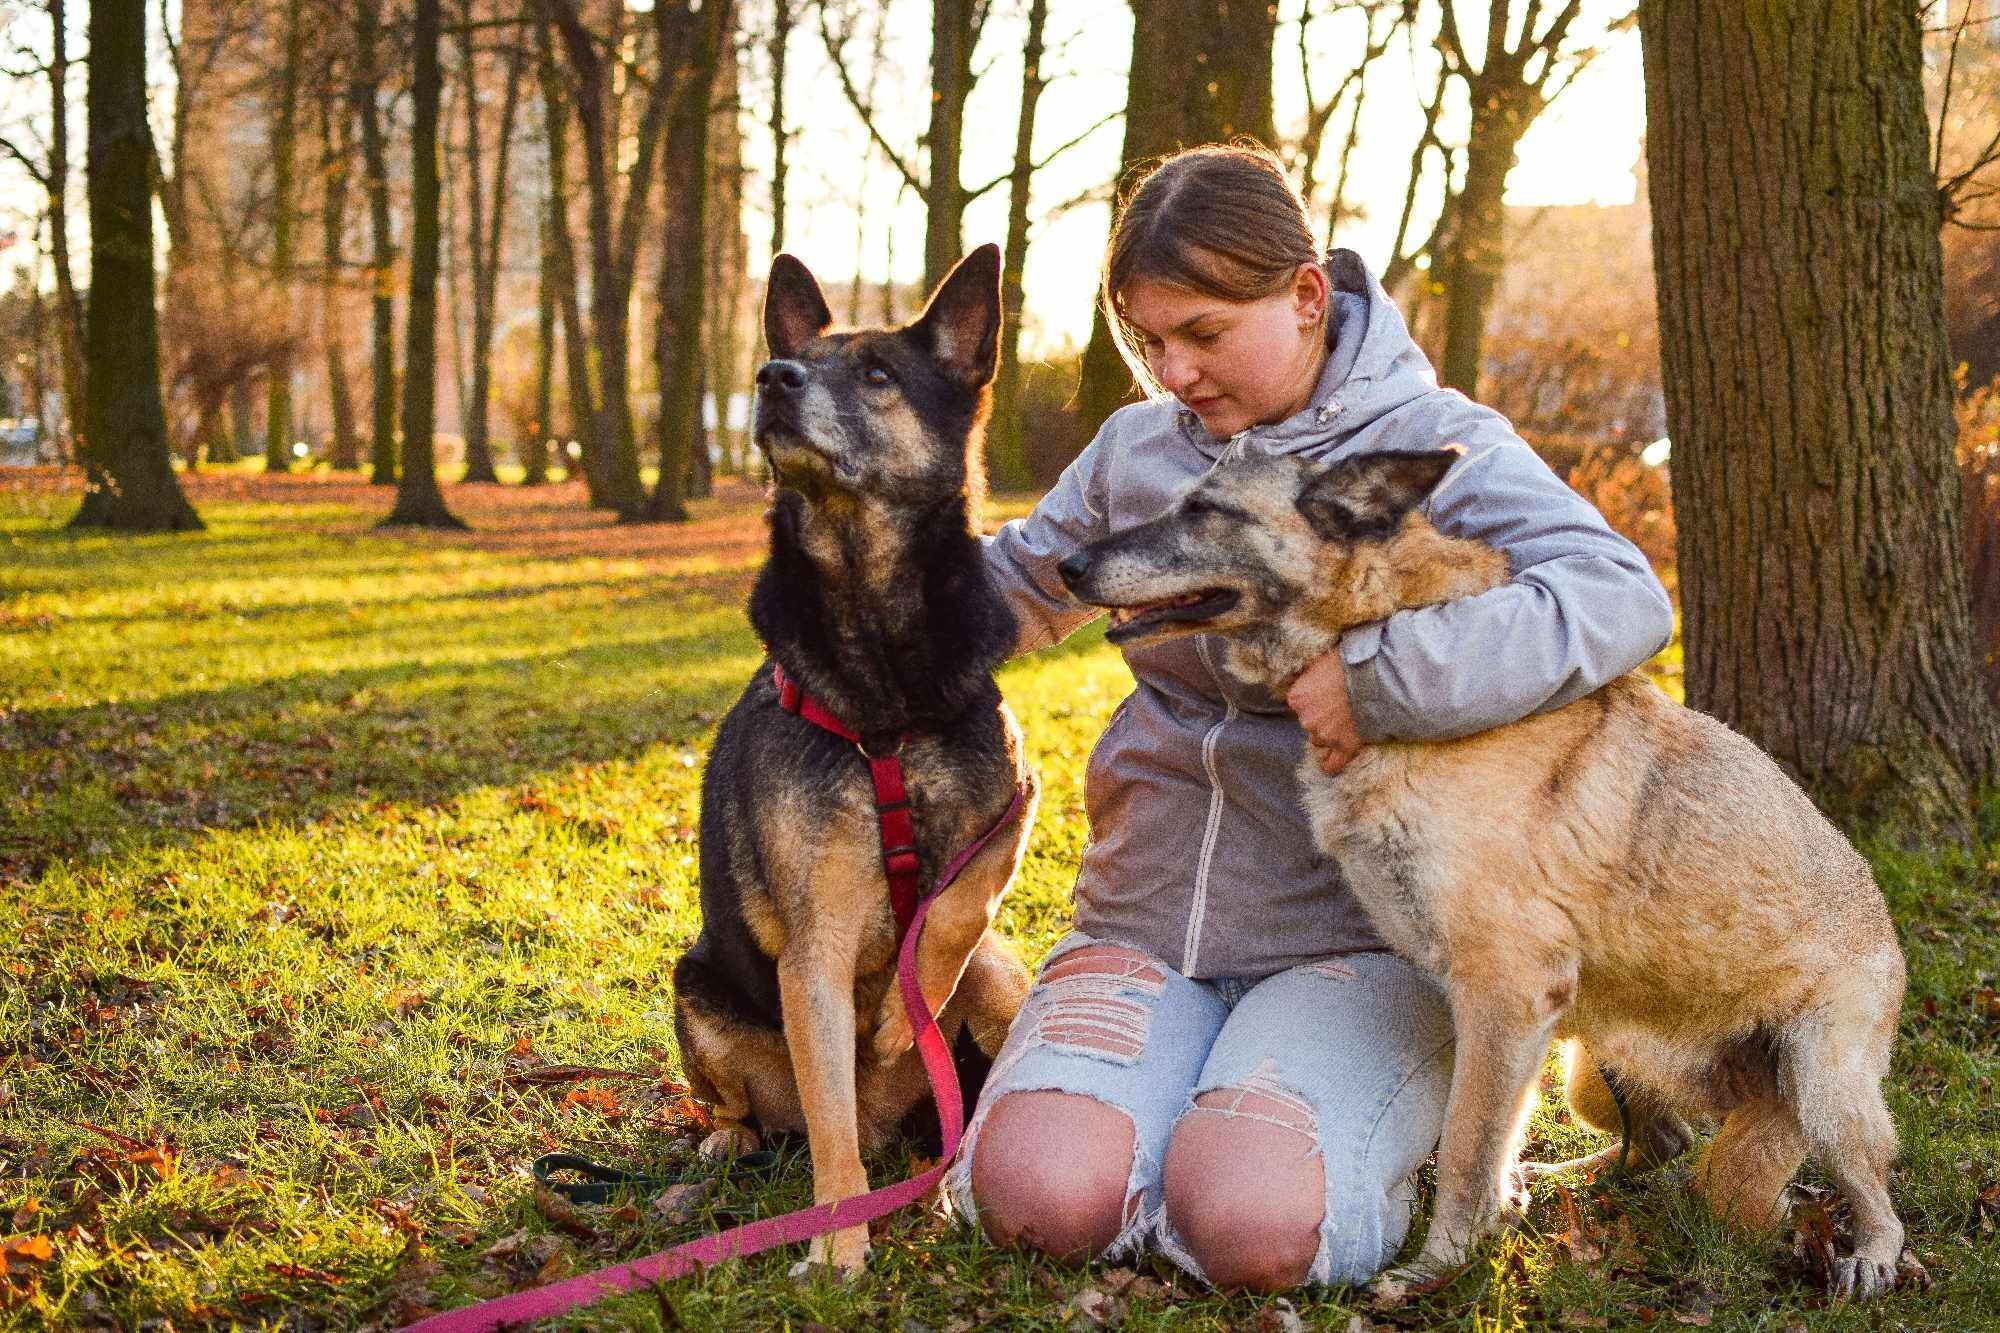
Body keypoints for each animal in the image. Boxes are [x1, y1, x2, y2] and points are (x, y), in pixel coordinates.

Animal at [680, 244, 1040, 1272]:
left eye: (878, 372)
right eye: (796, 359)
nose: (771, 377)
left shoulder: (1016, 806)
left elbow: (957, 908)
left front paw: (900, 1011)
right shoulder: (816, 951)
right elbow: (831, 1125)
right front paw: (838, 1246)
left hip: (1009, 982)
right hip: (696, 991)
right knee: (769, 1111)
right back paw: (732, 1141)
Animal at [1064, 448, 1904, 1296]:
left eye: (1207, 510)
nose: (1068, 564)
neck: (1376, 628)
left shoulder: (1504, 994)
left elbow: (1469, 1145)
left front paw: (1439, 1266)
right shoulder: (1514, 1019)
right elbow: (1492, 1142)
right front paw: (1494, 1219)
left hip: (1821, 1090)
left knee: (1873, 1186)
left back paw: (1870, 1255)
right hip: (1592, 1070)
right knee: (1664, 1140)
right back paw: (1569, 1177)